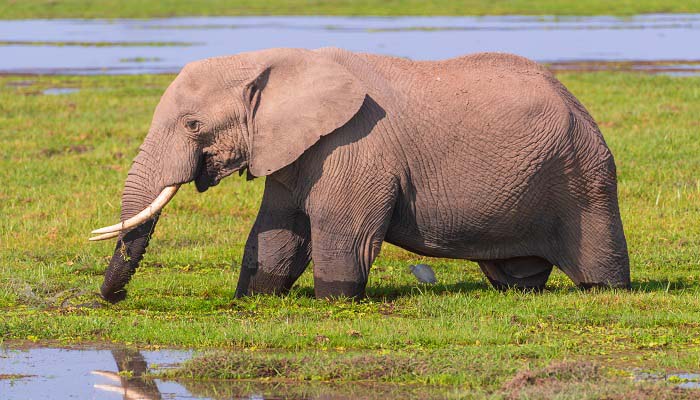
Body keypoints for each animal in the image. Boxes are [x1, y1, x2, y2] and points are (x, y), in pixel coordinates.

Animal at [90, 47, 632, 304]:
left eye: (192, 125)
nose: (113, 300)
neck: (271, 61)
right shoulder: (292, 150)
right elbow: (276, 236)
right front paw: (251, 300)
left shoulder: (354, 147)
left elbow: (341, 235)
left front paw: (334, 303)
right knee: (517, 275)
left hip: (583, 178)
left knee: (598, 268)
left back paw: (604, 289)